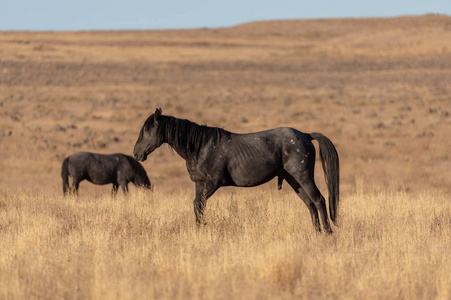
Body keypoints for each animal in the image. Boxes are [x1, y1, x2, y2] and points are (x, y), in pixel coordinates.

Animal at [134, 109, 340, 233]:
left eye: (147, 131)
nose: (136, 153)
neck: (200, 147)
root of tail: (306, 135)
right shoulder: (199, 184)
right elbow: (198, 206)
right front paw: (199, 228)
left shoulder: (213, 183)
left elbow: (198, 204)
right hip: (293, 180)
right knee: (310, 204)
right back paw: (316, 233)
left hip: (303, 176)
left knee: (319, 200)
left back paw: (328, 233)